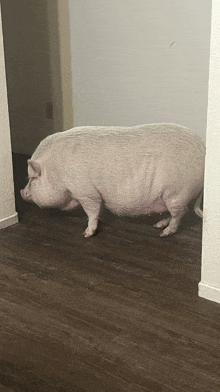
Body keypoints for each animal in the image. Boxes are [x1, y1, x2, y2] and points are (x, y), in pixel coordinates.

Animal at [19, 124, 205, 237]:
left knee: (179, 213)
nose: (21, 191)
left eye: (33, 178)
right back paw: (157, 225)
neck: (57, 170)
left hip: (176, 192)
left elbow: (91, 211)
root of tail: (203, 147)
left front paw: (86, 234)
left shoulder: (86, 192)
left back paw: (163, 233)